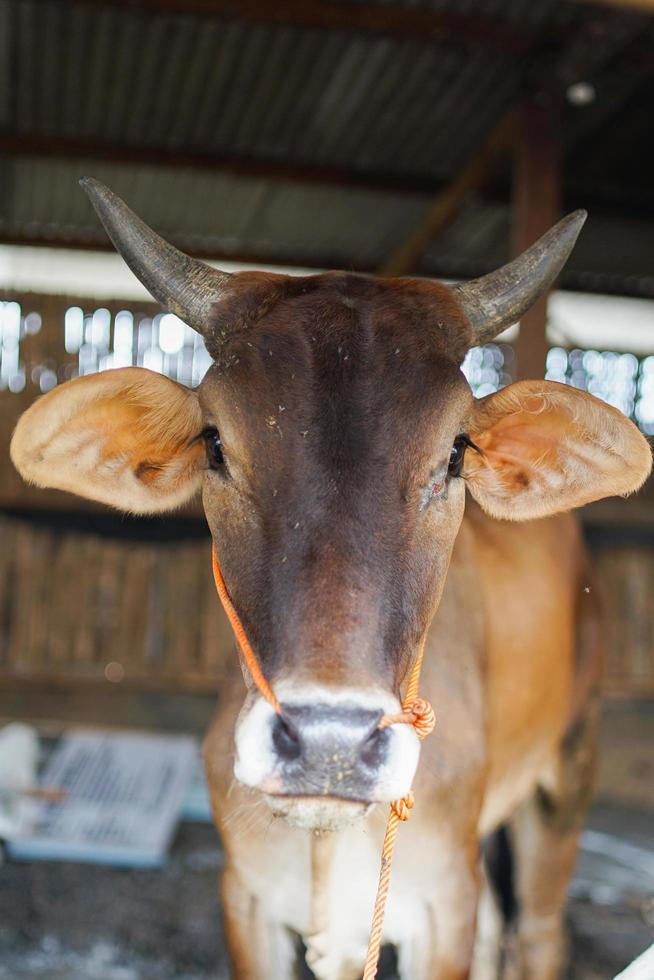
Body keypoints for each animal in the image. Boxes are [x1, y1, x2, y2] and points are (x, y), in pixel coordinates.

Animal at [9, 178, 652, 980]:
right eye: (215, 444)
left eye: (455, 454)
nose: (330, 743)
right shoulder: (248, 898)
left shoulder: (446, 902)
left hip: (571, 761)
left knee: (537, 929)